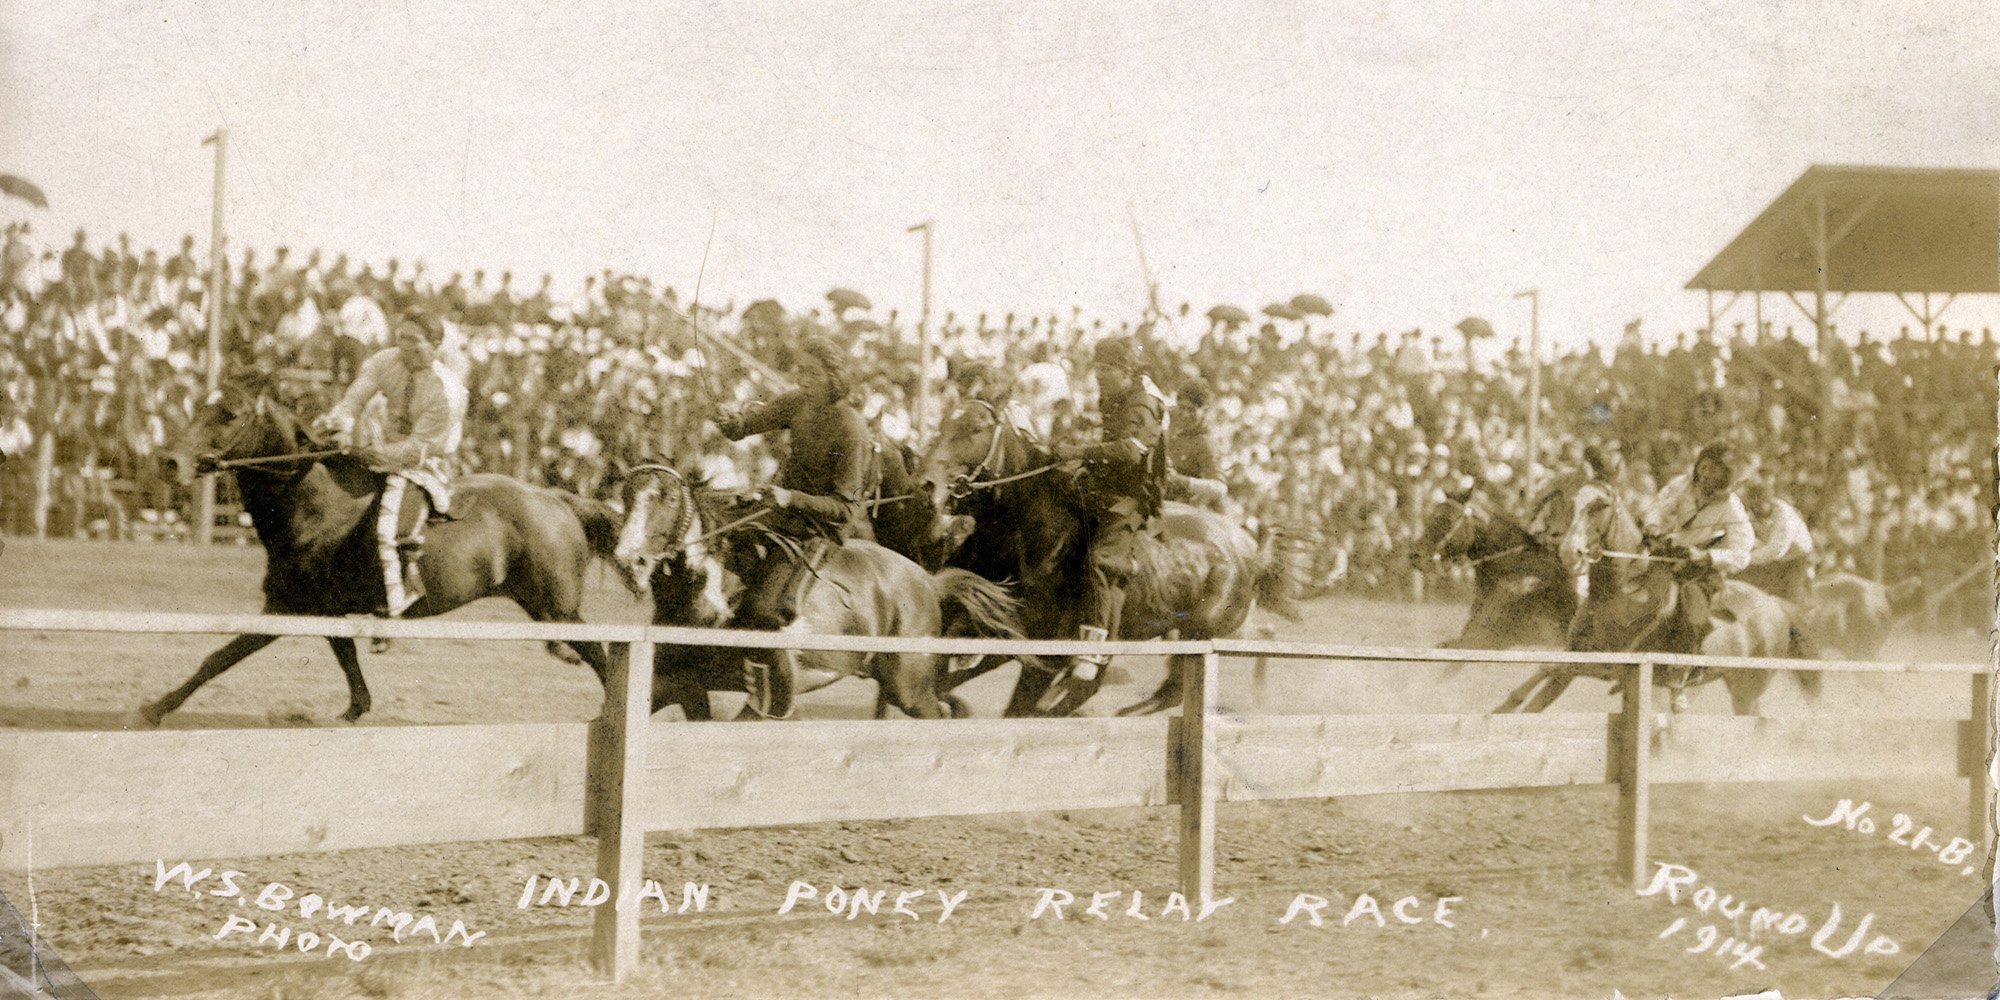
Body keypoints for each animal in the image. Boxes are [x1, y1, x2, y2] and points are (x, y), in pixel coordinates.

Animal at [139, 370, 632, 728]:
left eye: (229, 413)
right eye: (198, 405)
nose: (169, 462)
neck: (318, 507)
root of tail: (559, 498)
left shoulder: (289, 606)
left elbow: (219, 658)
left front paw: (154, 708)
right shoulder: (321, 609)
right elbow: (344, 659)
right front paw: (355, 708)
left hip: (559, 608)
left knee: (600, 655)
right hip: (542, 605)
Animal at [612, 460, 1024, 720]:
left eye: (667, 499)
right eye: (627, 498)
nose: (628, 560)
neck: (720, 592)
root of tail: (928, 581)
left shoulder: (774, 690)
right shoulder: (680, 683)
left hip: (909, 686)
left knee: (939, 711)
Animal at [916, 394, 1304, 716]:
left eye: (975, 428)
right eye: (943, 423)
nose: (927, 484)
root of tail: (1251, 554)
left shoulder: (1038, 649)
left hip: (1199, 635)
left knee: (1166, 689)